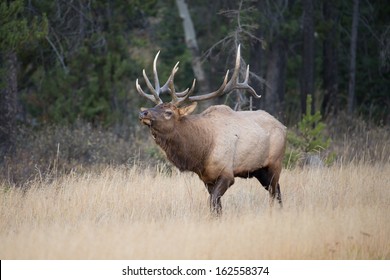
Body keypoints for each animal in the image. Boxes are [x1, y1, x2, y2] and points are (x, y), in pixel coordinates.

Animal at [136, 44, 286, 214]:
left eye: (168, 112)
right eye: (155, 106)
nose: (143, 113)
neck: (201, 151)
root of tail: (283, 126)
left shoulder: (227, 173)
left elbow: (212, 202)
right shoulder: (207, 178)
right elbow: (216, 207)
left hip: (275, 163)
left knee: (274, 192)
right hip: (259, 170)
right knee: (277, 190)